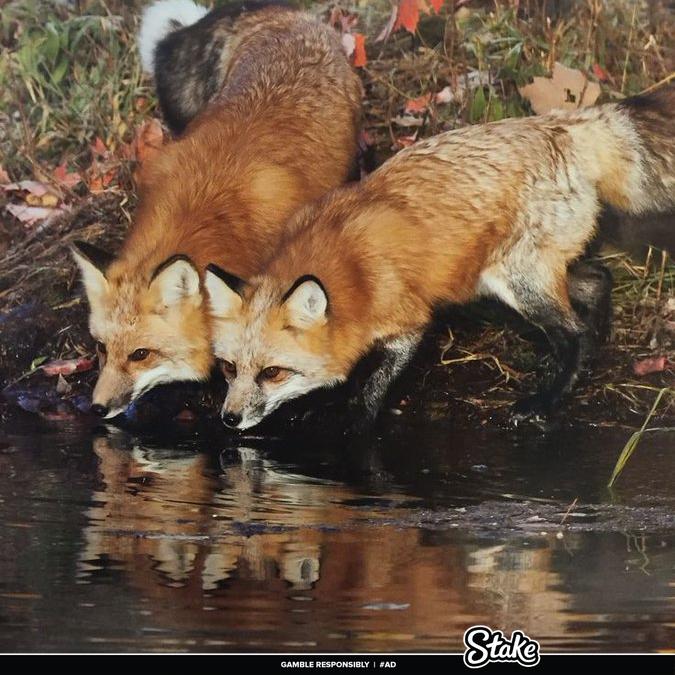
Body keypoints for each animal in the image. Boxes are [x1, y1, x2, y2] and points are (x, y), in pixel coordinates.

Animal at [204, 85, 675, 430]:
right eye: (227, 368)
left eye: (272, 372)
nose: (228, 419)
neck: (351, 270)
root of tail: (564, 125)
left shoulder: (410, 323)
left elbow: (373, 386)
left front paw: (355, 423)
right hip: (502, 279)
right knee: (598, 279)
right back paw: (598, 340)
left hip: (519, 283)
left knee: (573, 332)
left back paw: (545, 398)